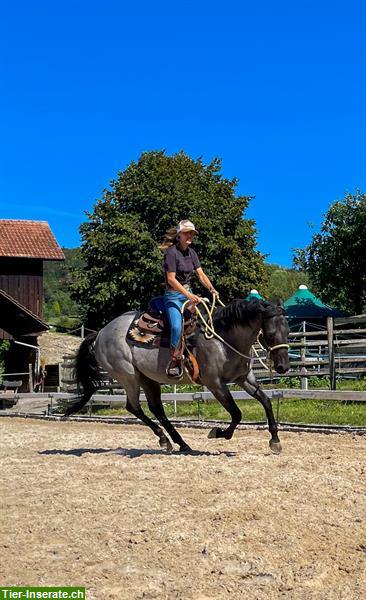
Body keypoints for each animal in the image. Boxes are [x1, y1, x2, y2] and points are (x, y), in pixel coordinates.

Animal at [65, 300, 288, 454]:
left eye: (287, 332)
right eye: (270, 335)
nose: (283, 367)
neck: (223, 338)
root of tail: (101, 333)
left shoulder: (243, 378)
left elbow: (266, 401)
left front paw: (275, 440)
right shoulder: (215, 384)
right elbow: (236, 413)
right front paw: (218, 433)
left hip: (147, 378)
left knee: (156, 408)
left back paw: (177, 442)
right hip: (128, 376)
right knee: (134, 407)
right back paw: (166, 439)